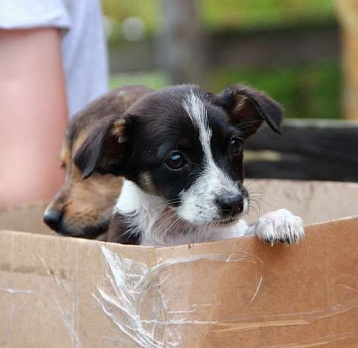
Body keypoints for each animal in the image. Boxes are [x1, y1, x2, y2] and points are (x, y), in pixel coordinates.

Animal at [75, 83, 304, 247]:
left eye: (235, 145)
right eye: (175, 160)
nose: (233, 203)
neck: (182, 230)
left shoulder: (230, 235)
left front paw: (276, 220)